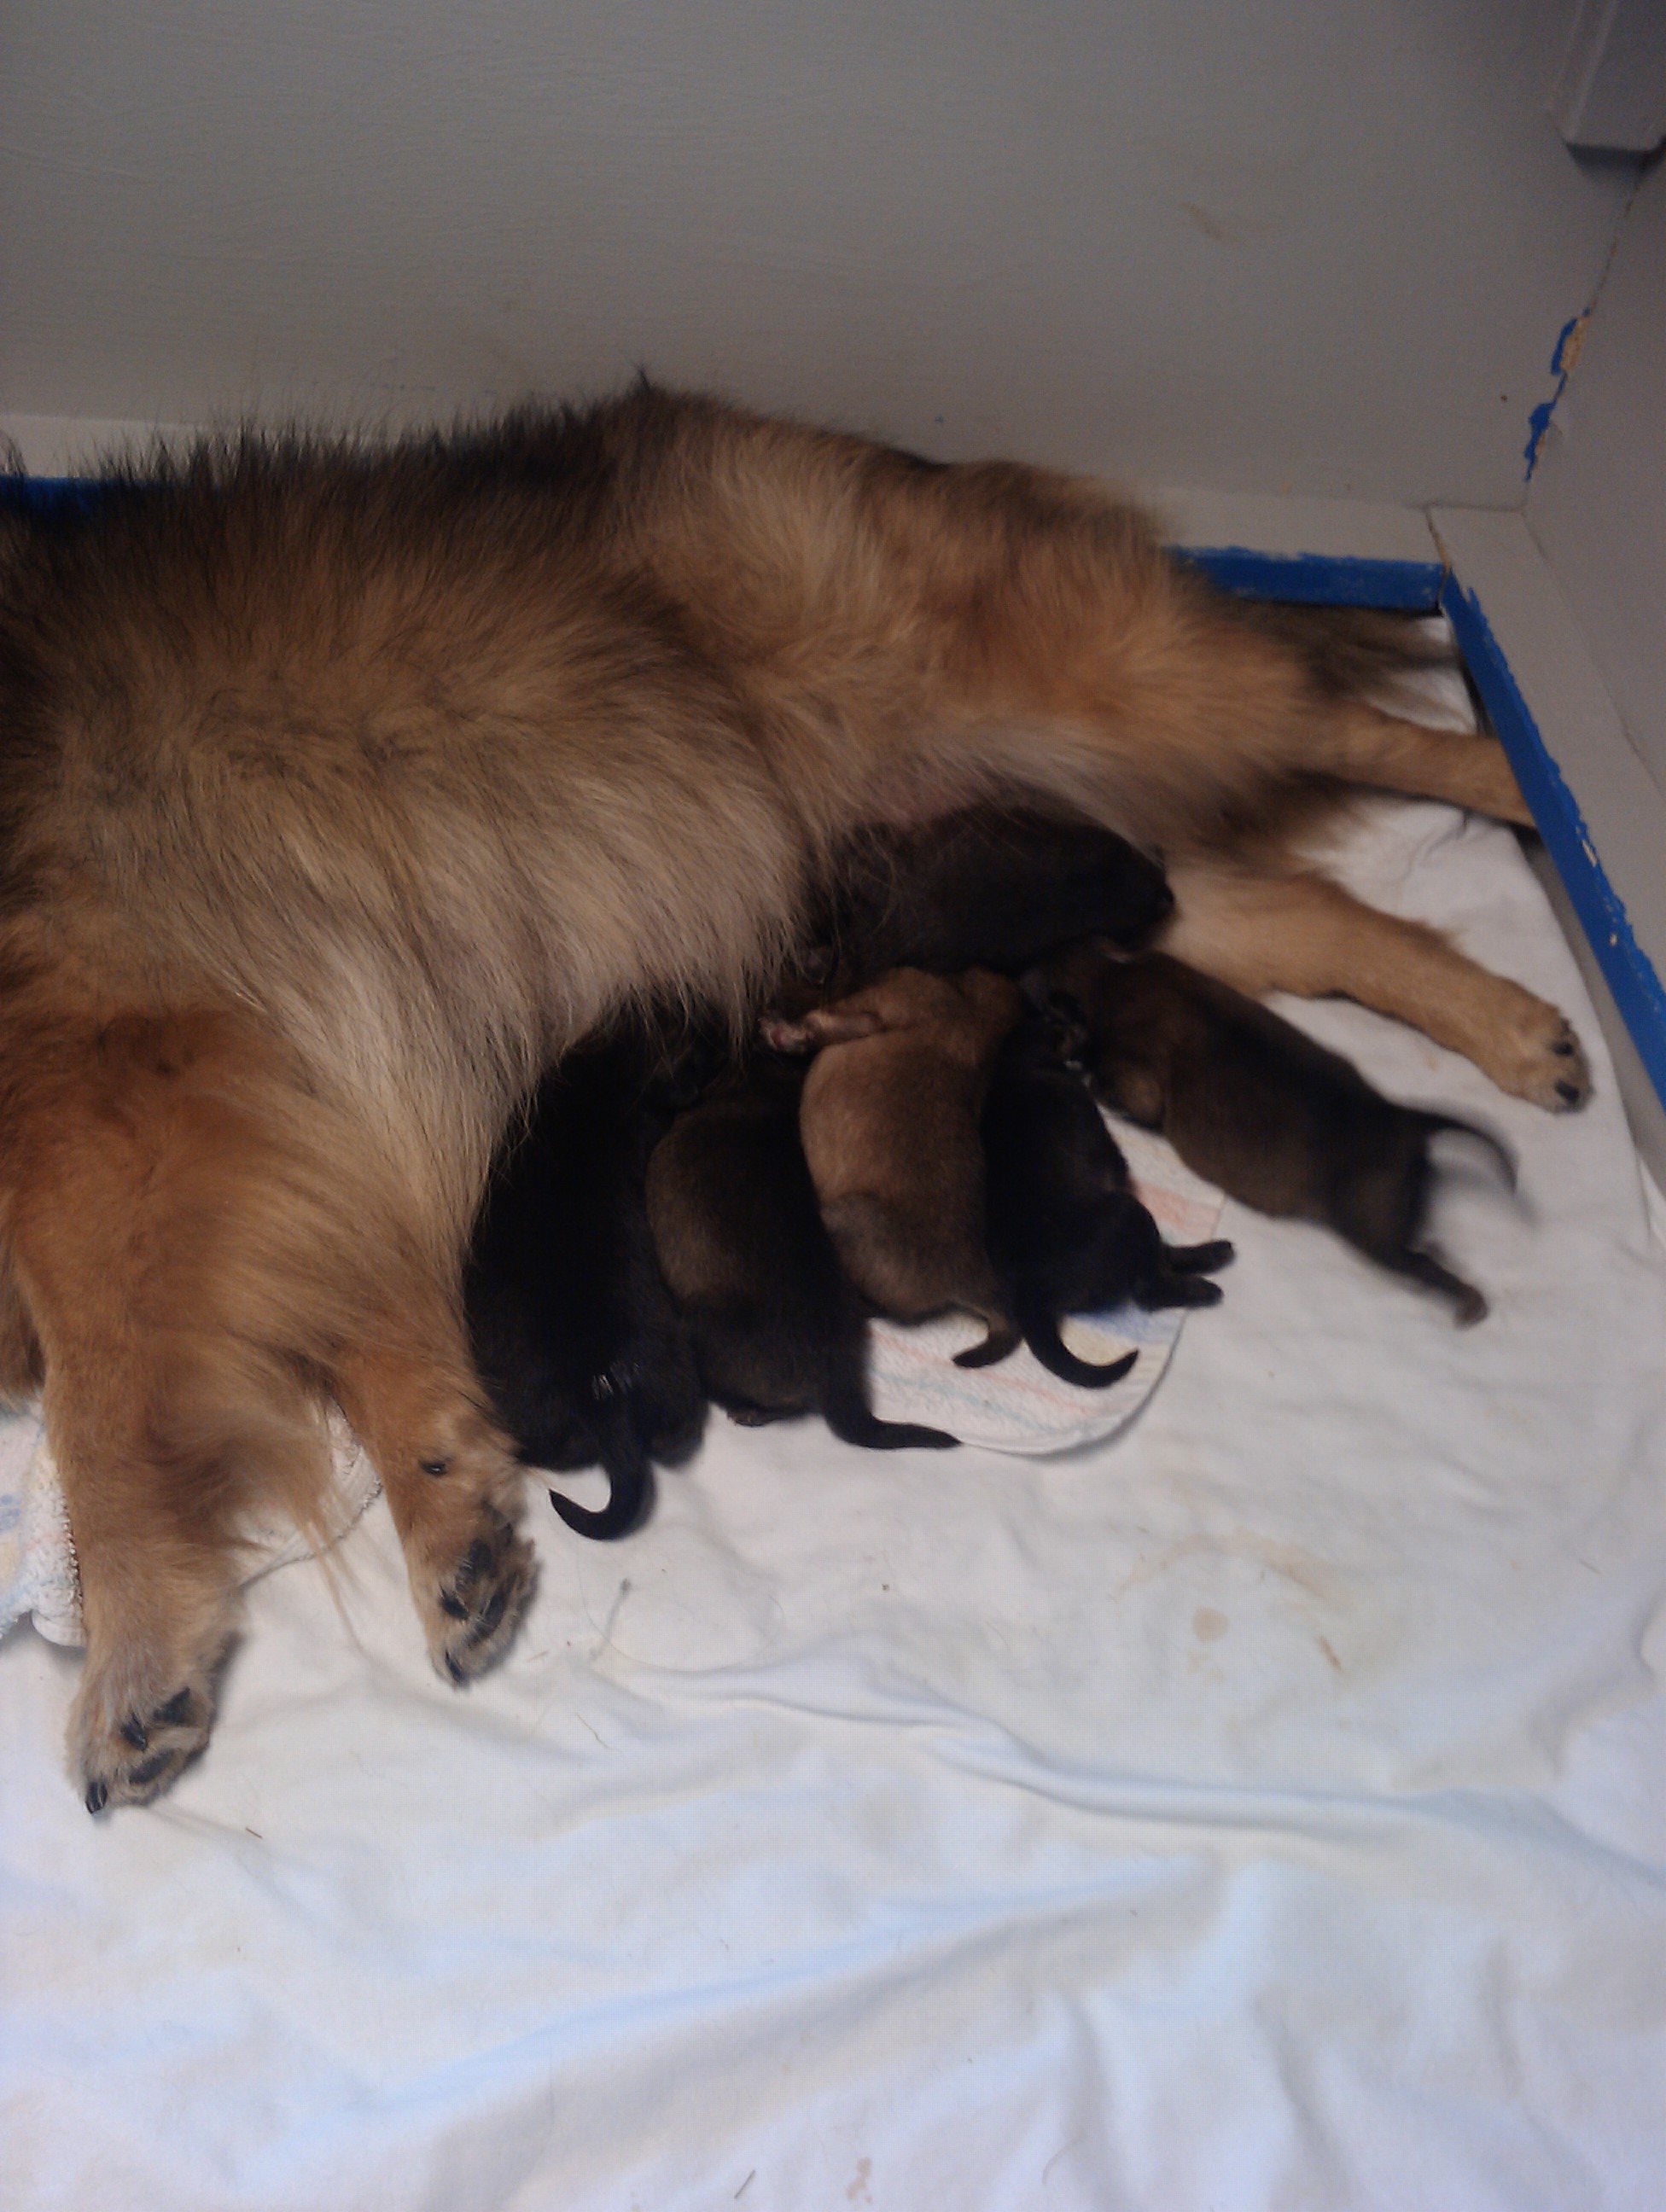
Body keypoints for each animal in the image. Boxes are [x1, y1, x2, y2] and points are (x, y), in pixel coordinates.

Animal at [979, 1012, 1235, 1384]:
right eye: (1066, 1024)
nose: (1086, 1022)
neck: (1014, 1064)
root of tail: (1030, 1294)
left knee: (1160, 1258)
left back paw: (1215, 1253)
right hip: (1130, 1214)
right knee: (1148, 1288)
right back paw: (1204, 1287)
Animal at [1048, 947, 1514, 1323]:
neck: (1113, 977)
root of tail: (1399, 1116)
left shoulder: (1137, 1079)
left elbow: (1118, 1090)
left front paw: (1087, 1075)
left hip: (1371, 1227)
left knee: (1419, 1264)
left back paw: (1467, 1303)